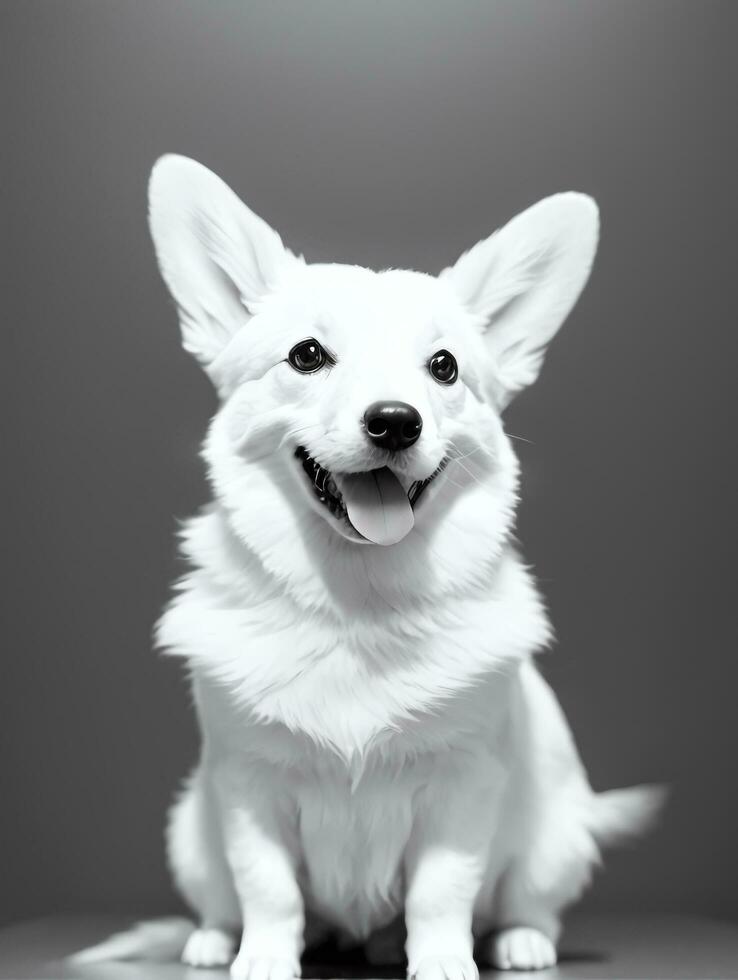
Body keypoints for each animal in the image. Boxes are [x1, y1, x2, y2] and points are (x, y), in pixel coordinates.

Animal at [75, 157, 660, 976]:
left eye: (444, 367)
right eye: (307, 356)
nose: (394, 421)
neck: (358, 599)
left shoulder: (461, 787)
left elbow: (443, 890)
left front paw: (443, 960)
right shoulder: (246, 787)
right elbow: (268, 889)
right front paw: (263, 958)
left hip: (556, 840)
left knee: (525, 899)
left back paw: (517, 941)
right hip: (189, 831)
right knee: (229, 899)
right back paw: (216, 941)